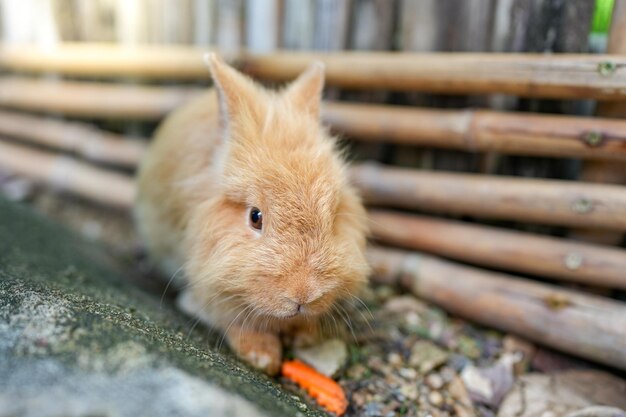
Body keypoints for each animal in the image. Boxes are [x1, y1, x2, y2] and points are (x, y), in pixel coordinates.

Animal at [134, 53, 368, 376]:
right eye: (255, 217)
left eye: (333, 216)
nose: (303, 296)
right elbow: (233, 319)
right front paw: (262, 356)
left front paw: (304, 336)